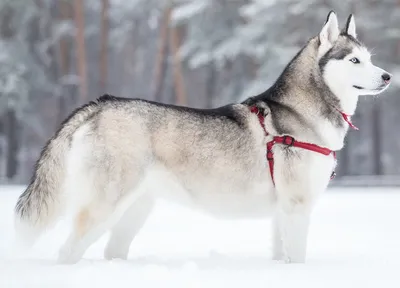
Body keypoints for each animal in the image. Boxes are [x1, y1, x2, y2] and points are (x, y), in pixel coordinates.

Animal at [14, 11, 390, 264]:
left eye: (370, 59)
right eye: (354, 60)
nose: (388, 76)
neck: (300, 110)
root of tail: (100, 104)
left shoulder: (282, 211)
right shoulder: (297, 205)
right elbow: (297, 257)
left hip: (135, 209)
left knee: (112, 251)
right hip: (105, 205)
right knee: (68, 250)